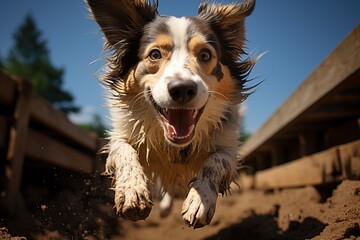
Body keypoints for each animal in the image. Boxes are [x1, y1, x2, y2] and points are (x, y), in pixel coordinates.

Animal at [87, 0, 256, 228]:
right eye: (155, 54)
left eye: (205, 55)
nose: (182, 89)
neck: (176, 147)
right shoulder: (122, 135)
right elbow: (124, 152)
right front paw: (132, 191)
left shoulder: (228, 146)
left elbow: (215, 162)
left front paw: (200, 199)